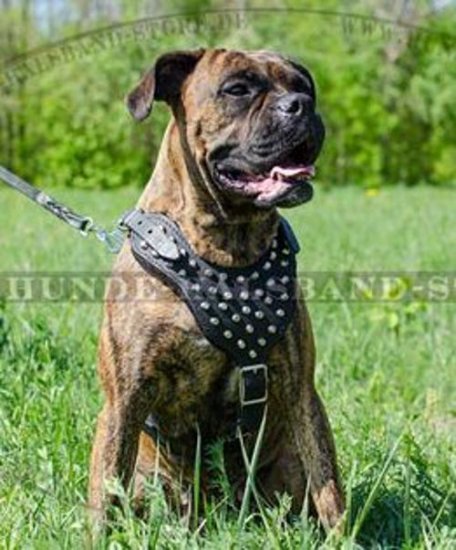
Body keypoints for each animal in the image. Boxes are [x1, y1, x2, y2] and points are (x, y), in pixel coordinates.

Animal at [88, 48, 346, 536]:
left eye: (303, 85)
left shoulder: (302, 390)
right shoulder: (124, 400)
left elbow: (330, 487)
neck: (228, 246)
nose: (301, 105)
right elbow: (104, 493)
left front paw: (345, 539)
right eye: (238, 89)